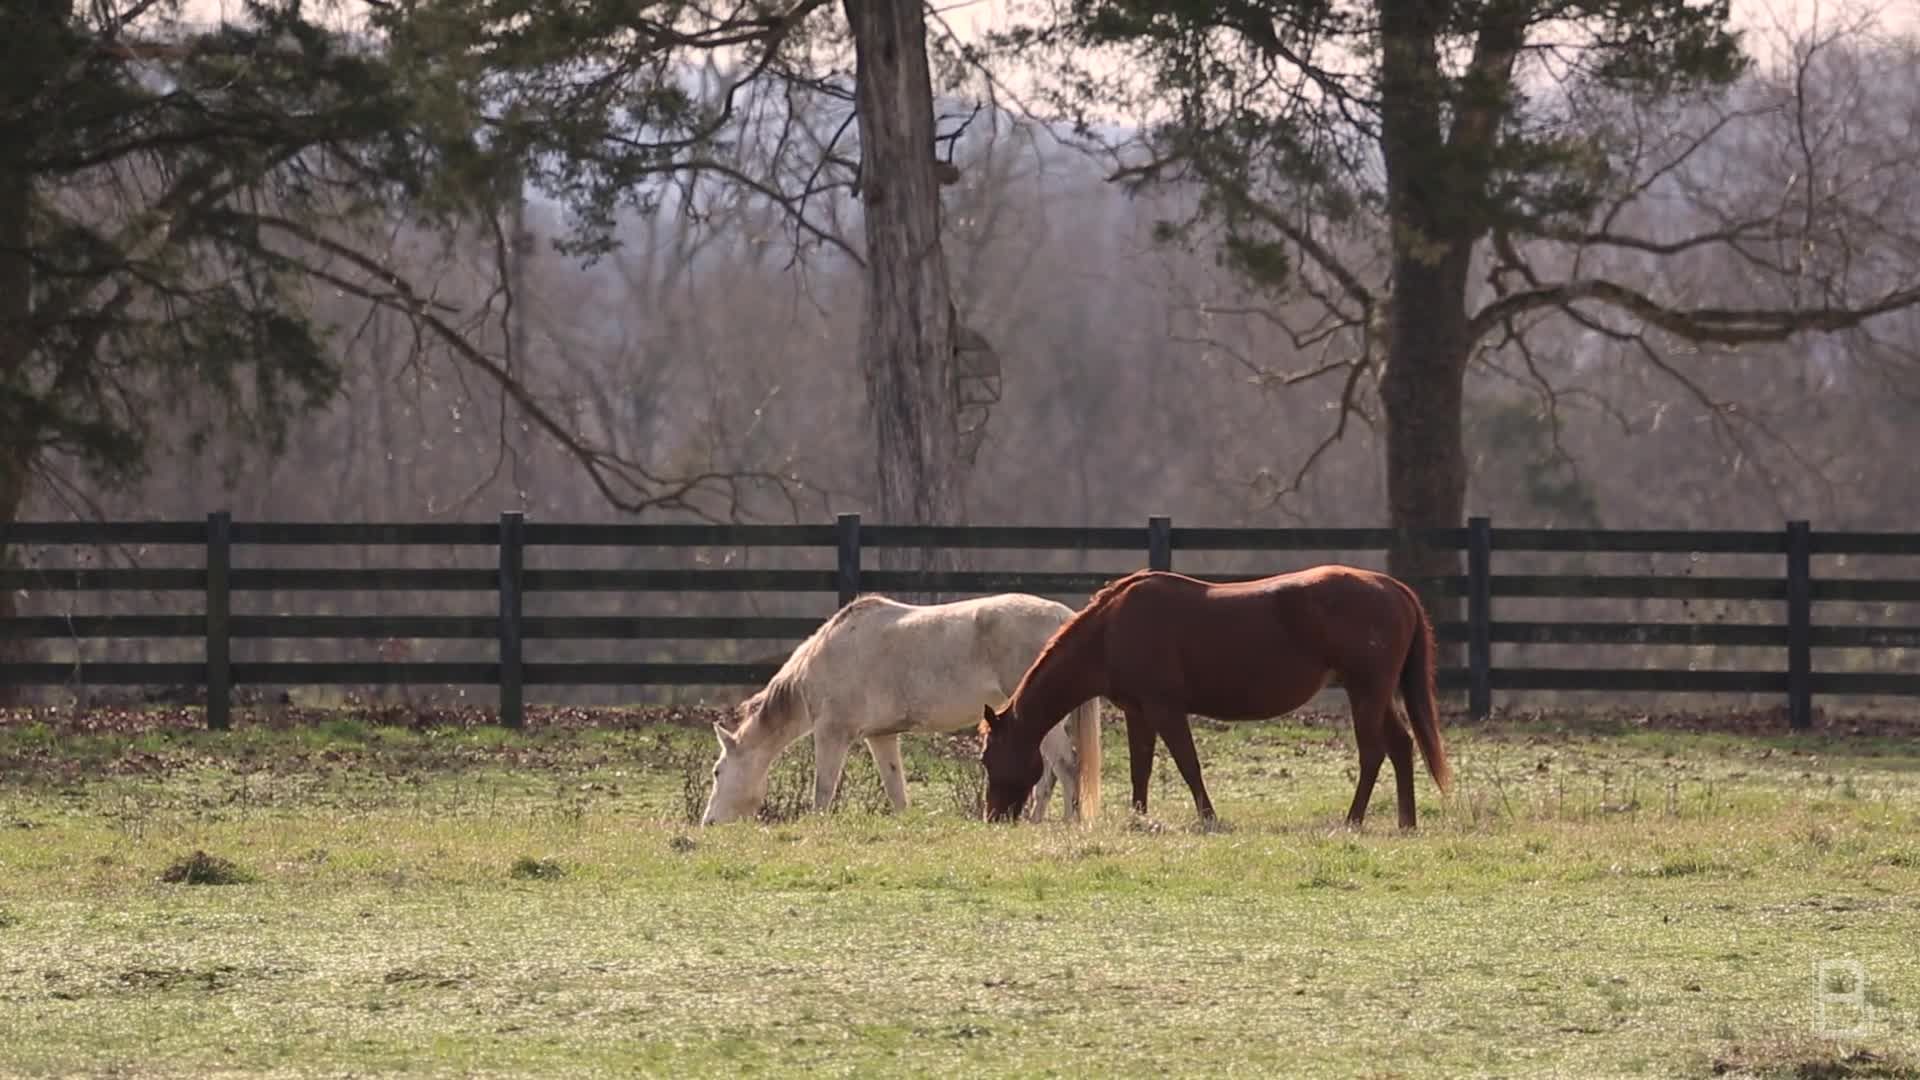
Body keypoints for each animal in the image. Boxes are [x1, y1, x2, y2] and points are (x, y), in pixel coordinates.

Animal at [706, 591, 1105, 818]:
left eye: (717, 772)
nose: (708, 823)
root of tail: (1063, 618)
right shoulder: (881, 737)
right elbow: (896, 791)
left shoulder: (832, 734)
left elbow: (823, 789)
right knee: (1050, 773)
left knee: (1067, 767)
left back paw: (1070, 825)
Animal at [983, 564, 1443, 822]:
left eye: (988, 758)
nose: (993, 817)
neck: (1112, 629)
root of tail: (1394, 588)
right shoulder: (1138, 712)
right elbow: (1140, 768)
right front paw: (1139, 819)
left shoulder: (1165, 709)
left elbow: (1188, 765)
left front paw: (1208, 818)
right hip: (1374, 693)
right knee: (1401, 746)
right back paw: (1406, 822)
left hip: (1366, 691)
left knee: (1374, 753)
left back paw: (1353, 819)